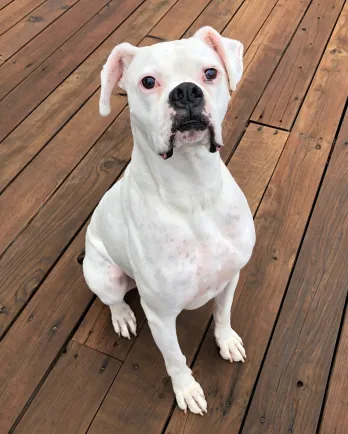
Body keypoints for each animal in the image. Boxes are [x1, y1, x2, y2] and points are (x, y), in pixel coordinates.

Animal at [82, 26, 254, 414]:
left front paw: (227, 340)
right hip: (103, 274)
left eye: (210, 73)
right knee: (112, 300)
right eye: (148, 81)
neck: (194, 193)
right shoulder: (160, 316)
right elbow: (175, 359)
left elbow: (223, 315)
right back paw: (123, 317)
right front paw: (186, 390)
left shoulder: (230, 277)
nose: (187, 91)